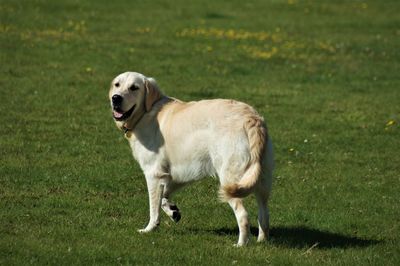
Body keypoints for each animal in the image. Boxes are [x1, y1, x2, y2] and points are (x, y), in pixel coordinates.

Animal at [108, 71, 274, 246]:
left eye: (134, 87)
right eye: (117, 85)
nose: (116, 98)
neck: (146, 112)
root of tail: (251, 118)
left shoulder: (154, 174)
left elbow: (153, 208)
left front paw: (149, 229)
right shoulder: (175, 174)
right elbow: (164, 196)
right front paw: (173, 211)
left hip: (230, 181)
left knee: (243, 216)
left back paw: (240, 245)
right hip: (261, 183)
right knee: (264, 214)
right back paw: (262, 241)